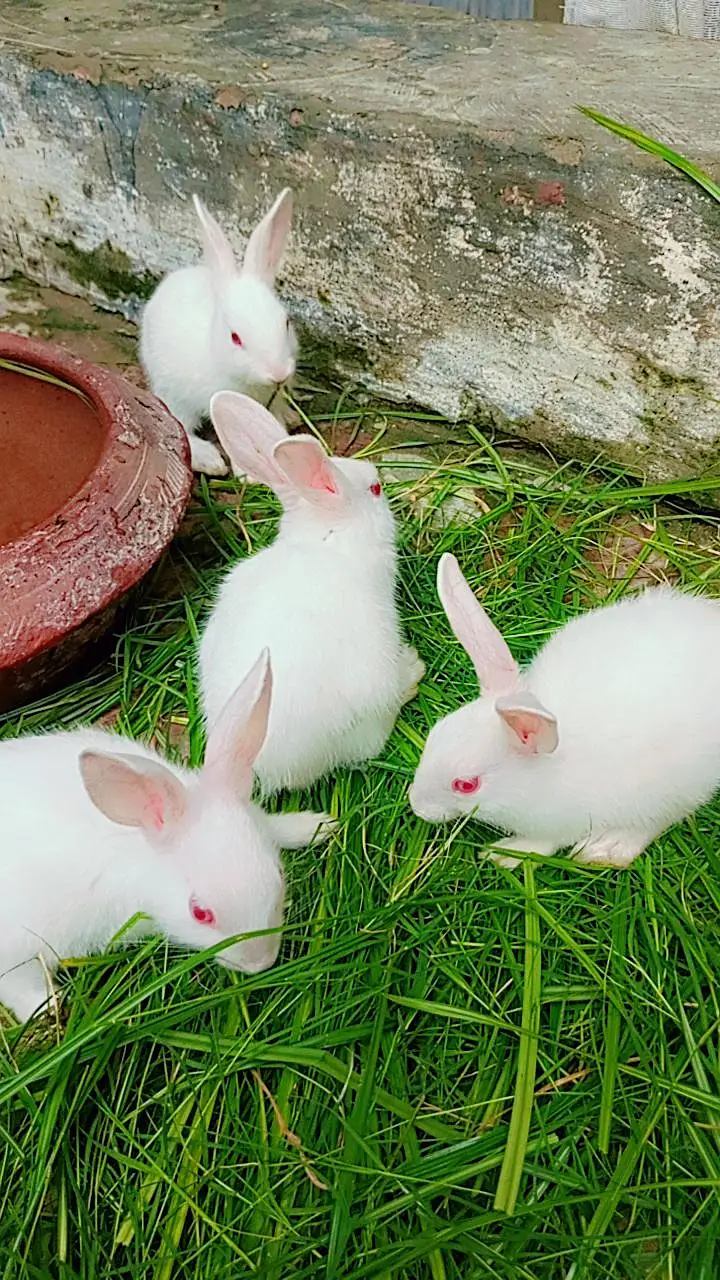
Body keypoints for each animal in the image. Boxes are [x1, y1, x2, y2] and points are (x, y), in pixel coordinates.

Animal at [139, 188, 297, 476]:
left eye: (286, 323)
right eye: (235, 338)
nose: (279, 374)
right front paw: (247, 474)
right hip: (170, 389)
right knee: (180, 426)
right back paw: (209, 460)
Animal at [409, 552, 720, 870]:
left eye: (466, 785)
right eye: (433, 734)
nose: (416, 806)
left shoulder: (559, 826)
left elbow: (543, 844)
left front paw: (503, 855)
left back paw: (604, 849)